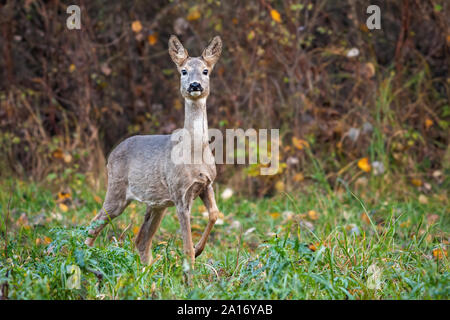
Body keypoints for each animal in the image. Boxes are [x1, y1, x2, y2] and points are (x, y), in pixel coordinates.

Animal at [85, 36, 223, 268]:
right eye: (183, 71)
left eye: (205, 71)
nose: (195, 85)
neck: (195, 151)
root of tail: (112, 154)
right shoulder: (180, 193)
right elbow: (186, 244)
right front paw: (191, 265)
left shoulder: (207, 184)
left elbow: (214, 214)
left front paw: (199, 249)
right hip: (117, 190)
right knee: (93, 225)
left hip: (157, 203)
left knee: (140, 239)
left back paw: (148, 270)